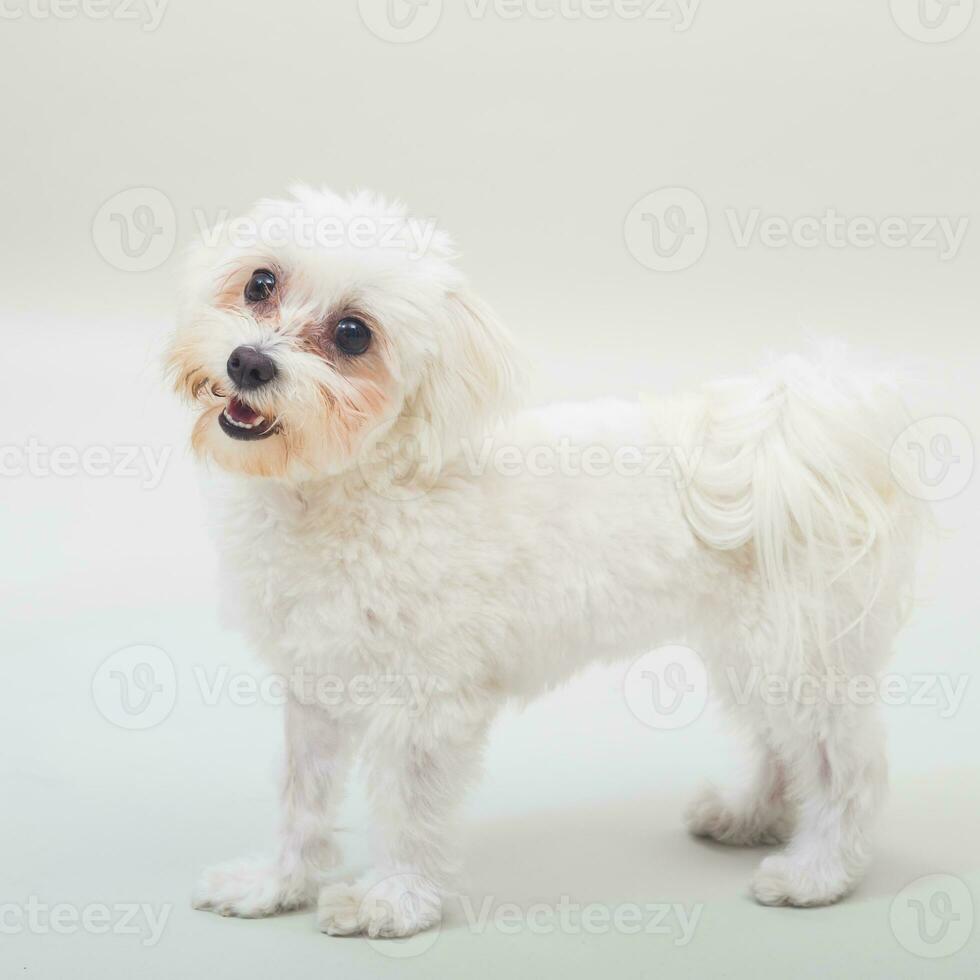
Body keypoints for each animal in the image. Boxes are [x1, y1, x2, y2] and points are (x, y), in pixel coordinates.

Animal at [165, 186, 924, 940]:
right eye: (261, 284)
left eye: (354, 334)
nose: (249, 363)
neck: (359, 486)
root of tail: (802, 432)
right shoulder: (314, 691)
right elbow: (301, 800)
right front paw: (275, 885)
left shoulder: (427, 708)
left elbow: (410, 813)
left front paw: (395, 900)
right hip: (755, 655)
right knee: (780, 746)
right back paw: (753, 816)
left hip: (802, 657)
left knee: (844, 768)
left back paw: (819, 871)